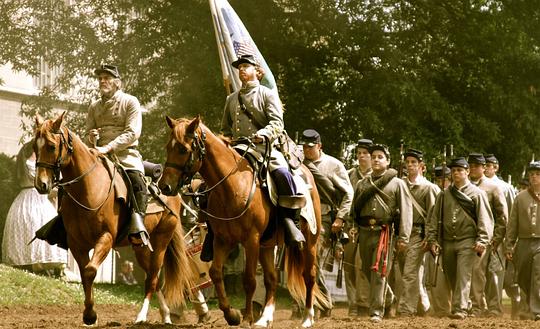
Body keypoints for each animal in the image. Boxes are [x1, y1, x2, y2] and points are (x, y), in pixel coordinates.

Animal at [33, 113, 195, 326]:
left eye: (51, 146)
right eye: (34, 147)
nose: (41, 184)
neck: (88, 187)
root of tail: (172, 192)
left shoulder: (106, 238)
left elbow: (90, 270)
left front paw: (90, 314)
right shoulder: (77, 244)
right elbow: (85, 275)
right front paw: (89, 313)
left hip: (161, 241)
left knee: (152, 278)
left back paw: (142, 316)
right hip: (140, 246)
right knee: (152, 278)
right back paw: (165, 314)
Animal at [158, 116, 330, 326]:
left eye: (183, 149)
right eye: (168, 147)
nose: (164, 186)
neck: (231, 185)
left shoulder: (251, 240)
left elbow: (248, 280)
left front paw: (247, 317)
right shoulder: (222, 240)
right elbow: (216, 273)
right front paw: (231, 314)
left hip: (309, 242)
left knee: (309, 276)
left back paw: (307, 318)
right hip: (267, 245)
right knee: (271, 279)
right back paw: (264, 318)